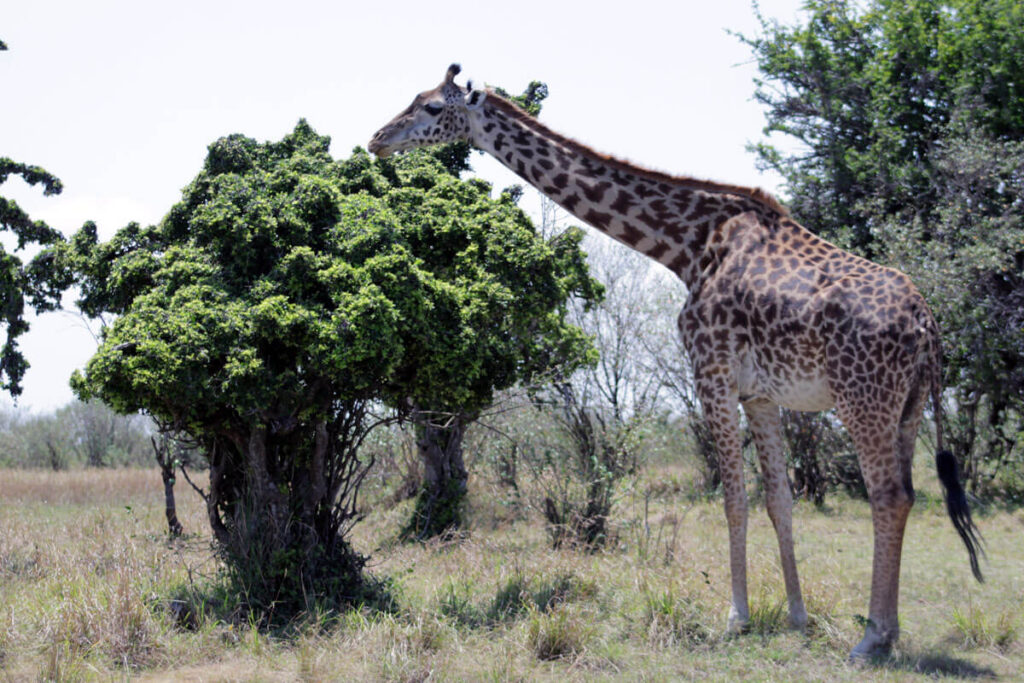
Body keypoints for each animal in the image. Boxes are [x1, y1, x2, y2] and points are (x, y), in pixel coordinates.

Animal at [368, 64, 984, 659]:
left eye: (432, 107)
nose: (377, 139)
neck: (685, 247)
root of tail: (927, 324)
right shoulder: (760, 393)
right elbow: (779, 501)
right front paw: (797, 616)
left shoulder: (711, 372)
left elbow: (734, 499)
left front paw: (736, 618)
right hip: (906, 407)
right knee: (903, 495)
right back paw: (890, 630)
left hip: (864, 399)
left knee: (888, 495)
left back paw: (873, 637)